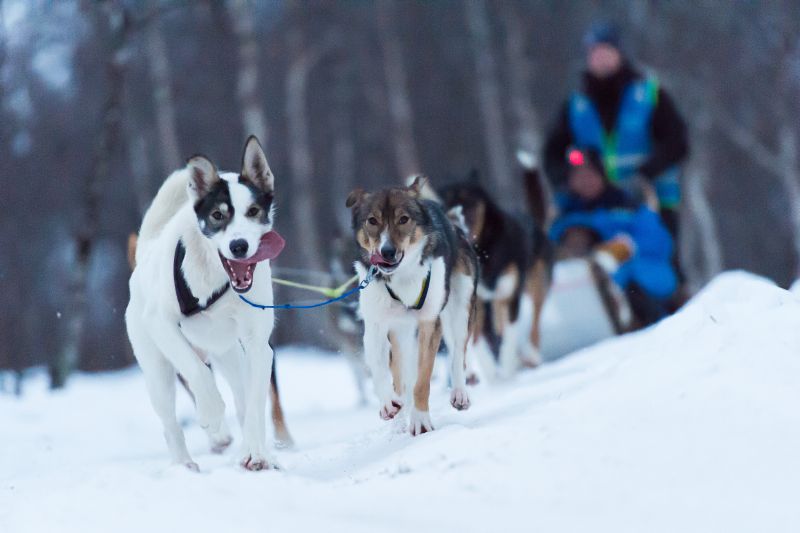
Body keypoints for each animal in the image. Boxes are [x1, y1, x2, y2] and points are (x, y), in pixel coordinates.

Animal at [126, 136, 284, 470]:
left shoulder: (258, 345)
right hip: (157, 372)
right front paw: (211, 414)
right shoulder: (162, 324)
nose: (239, 246)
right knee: (171, 424)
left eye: (253, 211)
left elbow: (254, 405)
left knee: (242, 399)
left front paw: (257, 454)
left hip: (230, 354)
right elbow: (198, 373)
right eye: (218, 215)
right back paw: (185, 465)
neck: (217, 280)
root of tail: (144, 256)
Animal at [346, 177, 478, 434]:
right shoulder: (376, 324)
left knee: (458, 351)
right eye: (372, 221)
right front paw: (388, 404)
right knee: (400, 373)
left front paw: (420, 420)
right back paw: (399, 416)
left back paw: (459, 393)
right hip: (402, 332)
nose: (387, 251)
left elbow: (423, 377)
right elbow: (379, 368)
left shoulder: (430, 321)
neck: (402, 278)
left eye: (403, 219)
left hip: (459, 307)